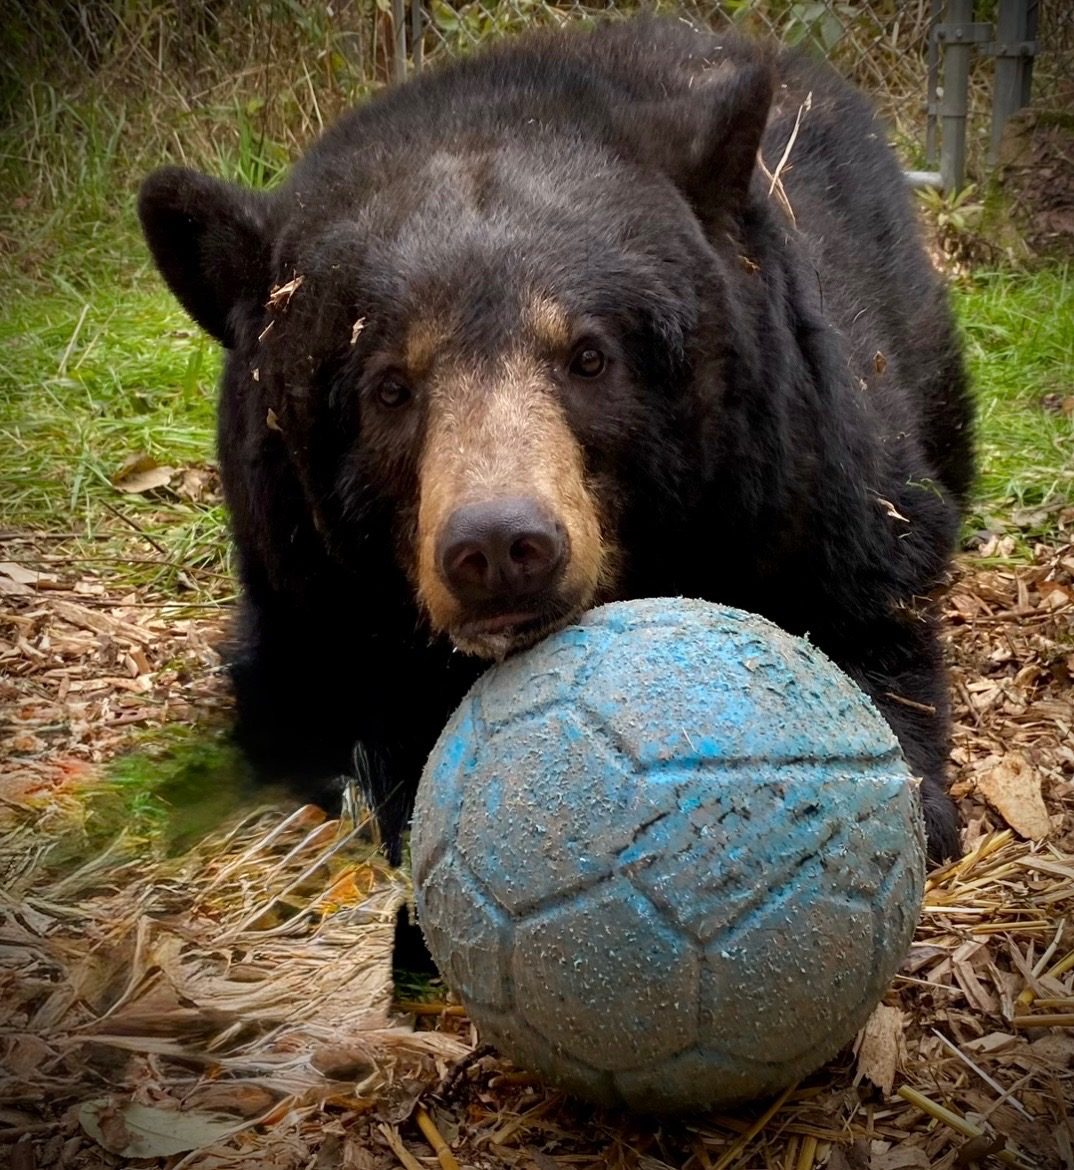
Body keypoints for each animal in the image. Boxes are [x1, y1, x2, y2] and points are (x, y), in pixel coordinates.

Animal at [138, 17, 973, 867]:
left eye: (589, 356)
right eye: (389, 388)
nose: (499, 546)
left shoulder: (797, 461)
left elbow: (864, 597)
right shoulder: (297, 583)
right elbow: (306, 696)